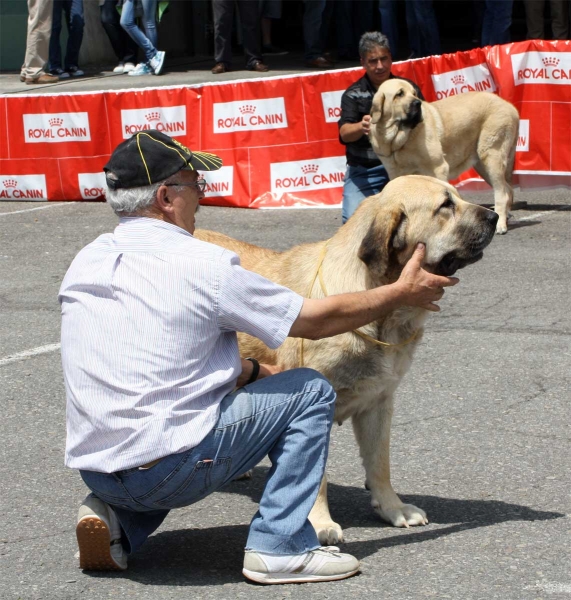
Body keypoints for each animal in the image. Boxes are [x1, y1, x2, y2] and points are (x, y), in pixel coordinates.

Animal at [194, 175, 498, 544]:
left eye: (457, 195)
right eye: (446, 205)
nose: (495, 217)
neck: (381, 307)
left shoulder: (379, 402)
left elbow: (380, 463)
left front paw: (393, 508)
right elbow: (317, 475)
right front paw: (320, 522)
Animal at [368, 79, 520, 237]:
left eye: (414, 93)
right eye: (399, 94)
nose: (418, 103)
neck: (401, 138)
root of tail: (510, 106)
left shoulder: (438, 168)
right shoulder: (396, 174)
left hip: (491, 157)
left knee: (502, 193)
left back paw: (500, 224)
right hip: (483, 166)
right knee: (508, 189)